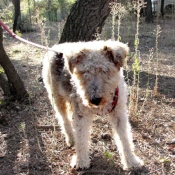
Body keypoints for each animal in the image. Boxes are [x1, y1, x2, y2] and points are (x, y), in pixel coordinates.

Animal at [42, 40, 144, 170]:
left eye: (105, 70)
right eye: (84, 72)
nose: (95, 100)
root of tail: (56, 47)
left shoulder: (119, 112)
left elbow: (125, 138)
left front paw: (131, 162)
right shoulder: (82, 114)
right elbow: (81, 138)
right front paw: (81, 161)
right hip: (56, 98)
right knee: (64, 120)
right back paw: (71, 139)